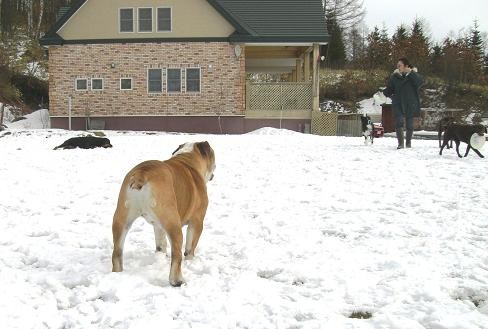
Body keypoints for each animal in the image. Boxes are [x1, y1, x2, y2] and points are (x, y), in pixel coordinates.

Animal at [113, 141, 216, 284]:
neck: (189, 161)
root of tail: (141, 174)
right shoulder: (197, 221)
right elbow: (190, 247)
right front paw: (190, 260)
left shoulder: (158, 225)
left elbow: (161, 244)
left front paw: (160, 255)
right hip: (173, 222)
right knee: (177, 255)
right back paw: (177, 281)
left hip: (121, 219)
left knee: (117, 252)